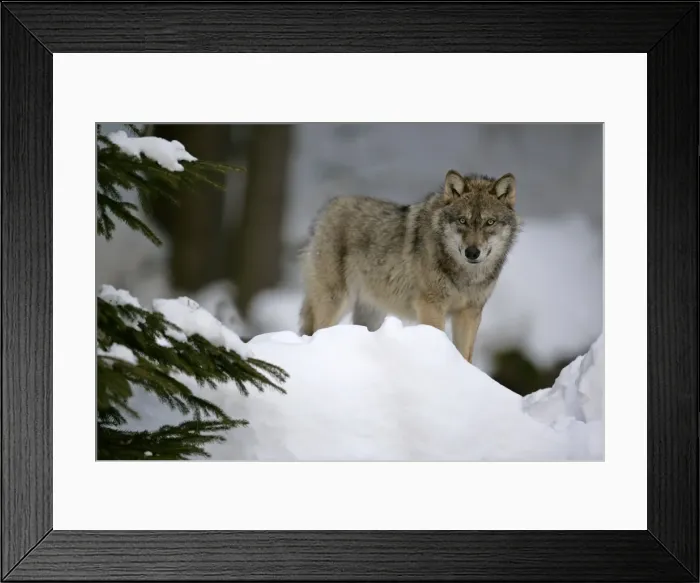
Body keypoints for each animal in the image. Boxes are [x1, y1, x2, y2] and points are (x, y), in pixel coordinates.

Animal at [298, 169, 522, 363]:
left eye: (490, 222)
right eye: (462, 221)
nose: (472, 252)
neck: (466, 275)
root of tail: (327, 209)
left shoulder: (469, 313)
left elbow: (466, 357)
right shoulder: (431, 306)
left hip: (371, 314)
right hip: (335, 301)